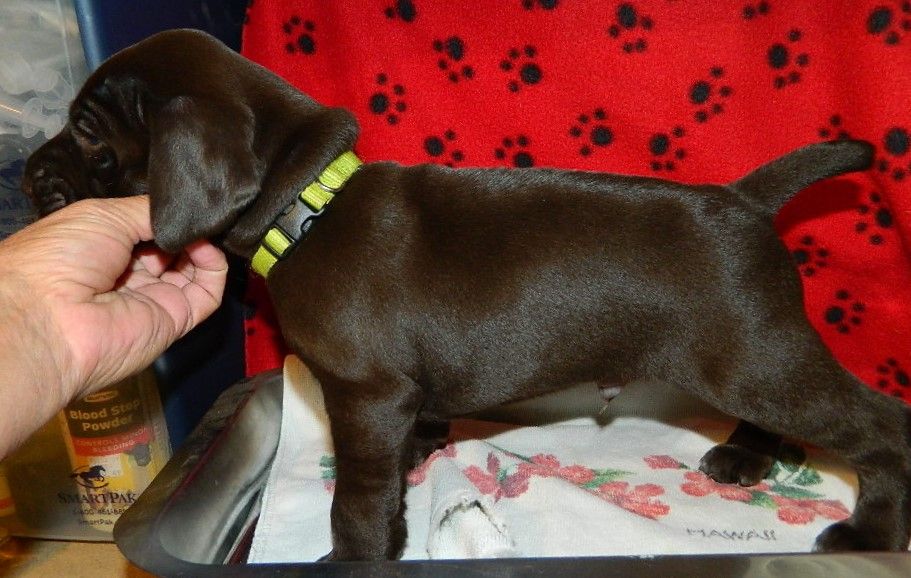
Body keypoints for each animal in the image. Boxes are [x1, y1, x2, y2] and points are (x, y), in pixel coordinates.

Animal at [22, 30, 911, 560]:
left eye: (89, 130)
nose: (27, 173)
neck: (308, 204)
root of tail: (743, 200)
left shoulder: (364, 396)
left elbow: (356, 499)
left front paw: (352, 558)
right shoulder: (391, 400)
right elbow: (397, 465)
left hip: (753, 358)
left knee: (881, 429)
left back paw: (868, 532)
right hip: (753, 360)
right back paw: (747, 458)